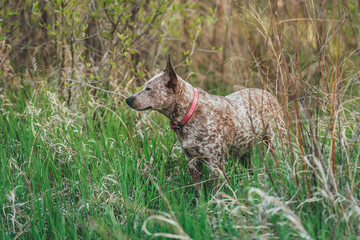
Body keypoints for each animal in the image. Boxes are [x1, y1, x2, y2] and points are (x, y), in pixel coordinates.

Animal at [126, 55, 286, 191]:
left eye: (148, 89)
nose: (128, 99)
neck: (190, 114)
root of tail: (269, 94)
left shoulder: (216, 165)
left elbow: (217, 195)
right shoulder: (192, 162)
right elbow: (200, 193)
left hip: (277, 143)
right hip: (244, 153)